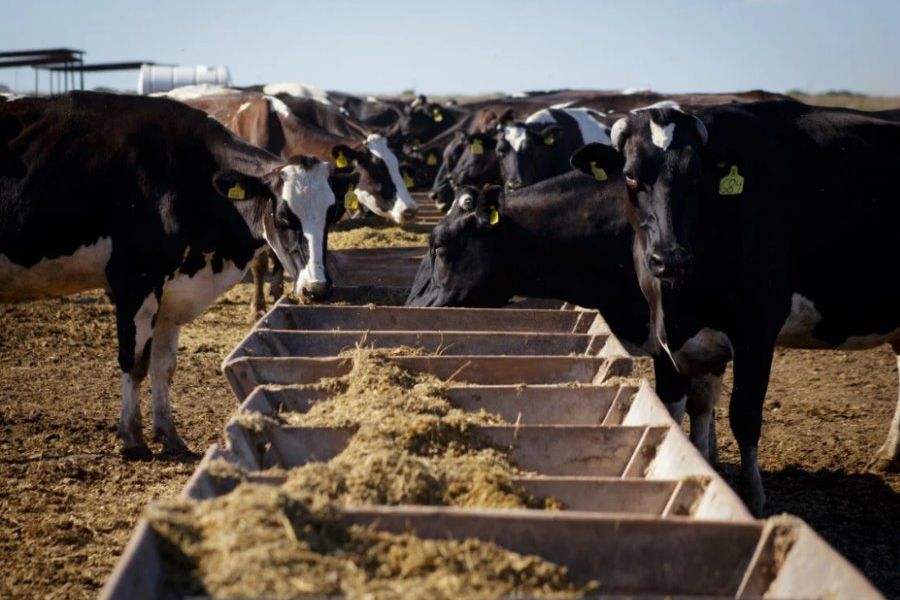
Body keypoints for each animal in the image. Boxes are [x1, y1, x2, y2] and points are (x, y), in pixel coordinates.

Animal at [0, 91, 338, 460]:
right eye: (283, 217)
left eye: (333, 214)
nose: (318, 289)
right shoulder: (134, 280)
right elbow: (135, 362)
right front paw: (133, 439)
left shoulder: (172, 293)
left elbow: (164, 365)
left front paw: (169, 435)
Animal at [572, 98, 896, 510]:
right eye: (629, 176)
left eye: (696, 176)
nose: (670, 258)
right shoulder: (664, 336)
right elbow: (675, 411)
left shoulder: (756, 332)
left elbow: (744, 416)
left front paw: (753, 497)